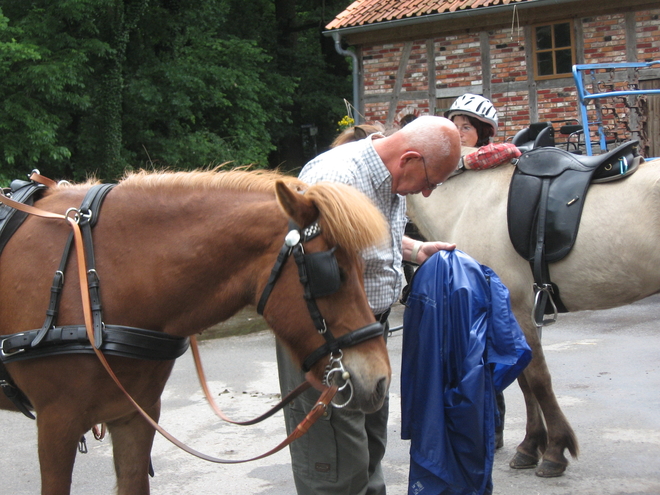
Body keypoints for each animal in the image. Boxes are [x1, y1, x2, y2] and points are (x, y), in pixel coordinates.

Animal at [404, 157, 660, 478]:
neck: (467, 199)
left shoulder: (517, 309)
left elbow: (538, 380)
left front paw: (555, 450)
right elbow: (524, 380)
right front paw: (530, 445)